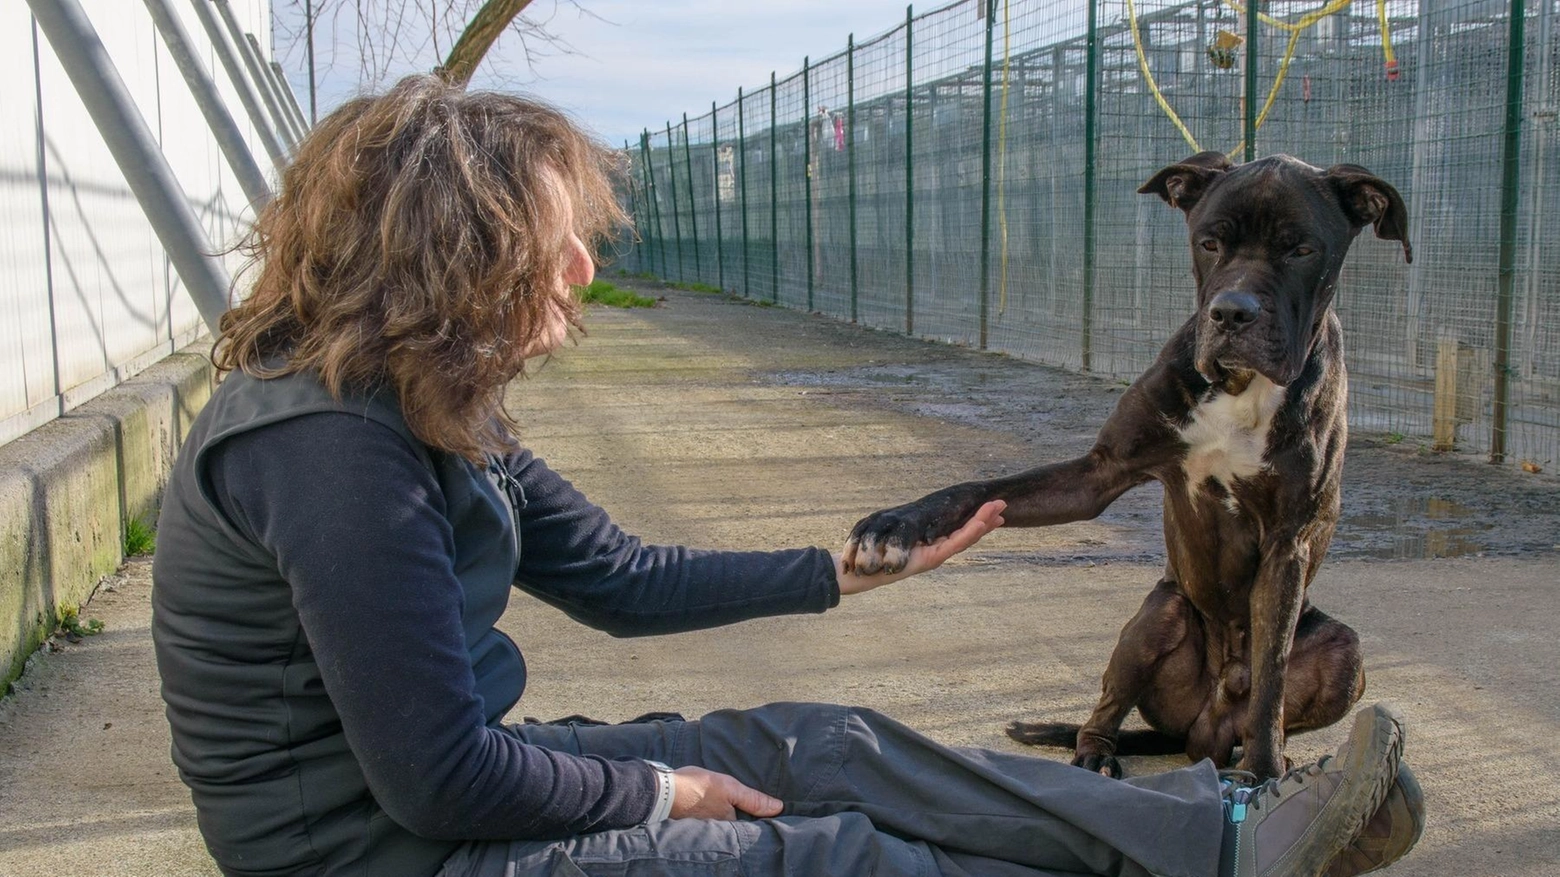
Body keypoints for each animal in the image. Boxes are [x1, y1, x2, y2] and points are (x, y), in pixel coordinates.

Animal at [842, 152, 1416, 777]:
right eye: (1209, 243)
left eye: (1302, 250)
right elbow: (974, 487)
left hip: (1344, 654)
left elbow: (1271, 679)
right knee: (1107, 710)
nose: (1232, 313)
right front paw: (894, 525)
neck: (1240, 387)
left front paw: (1264, 776)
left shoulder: (1289, 542)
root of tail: (1203, 732)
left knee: (1274, 692)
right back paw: (1093, 753)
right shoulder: (1101, 472)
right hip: (1158, 615)